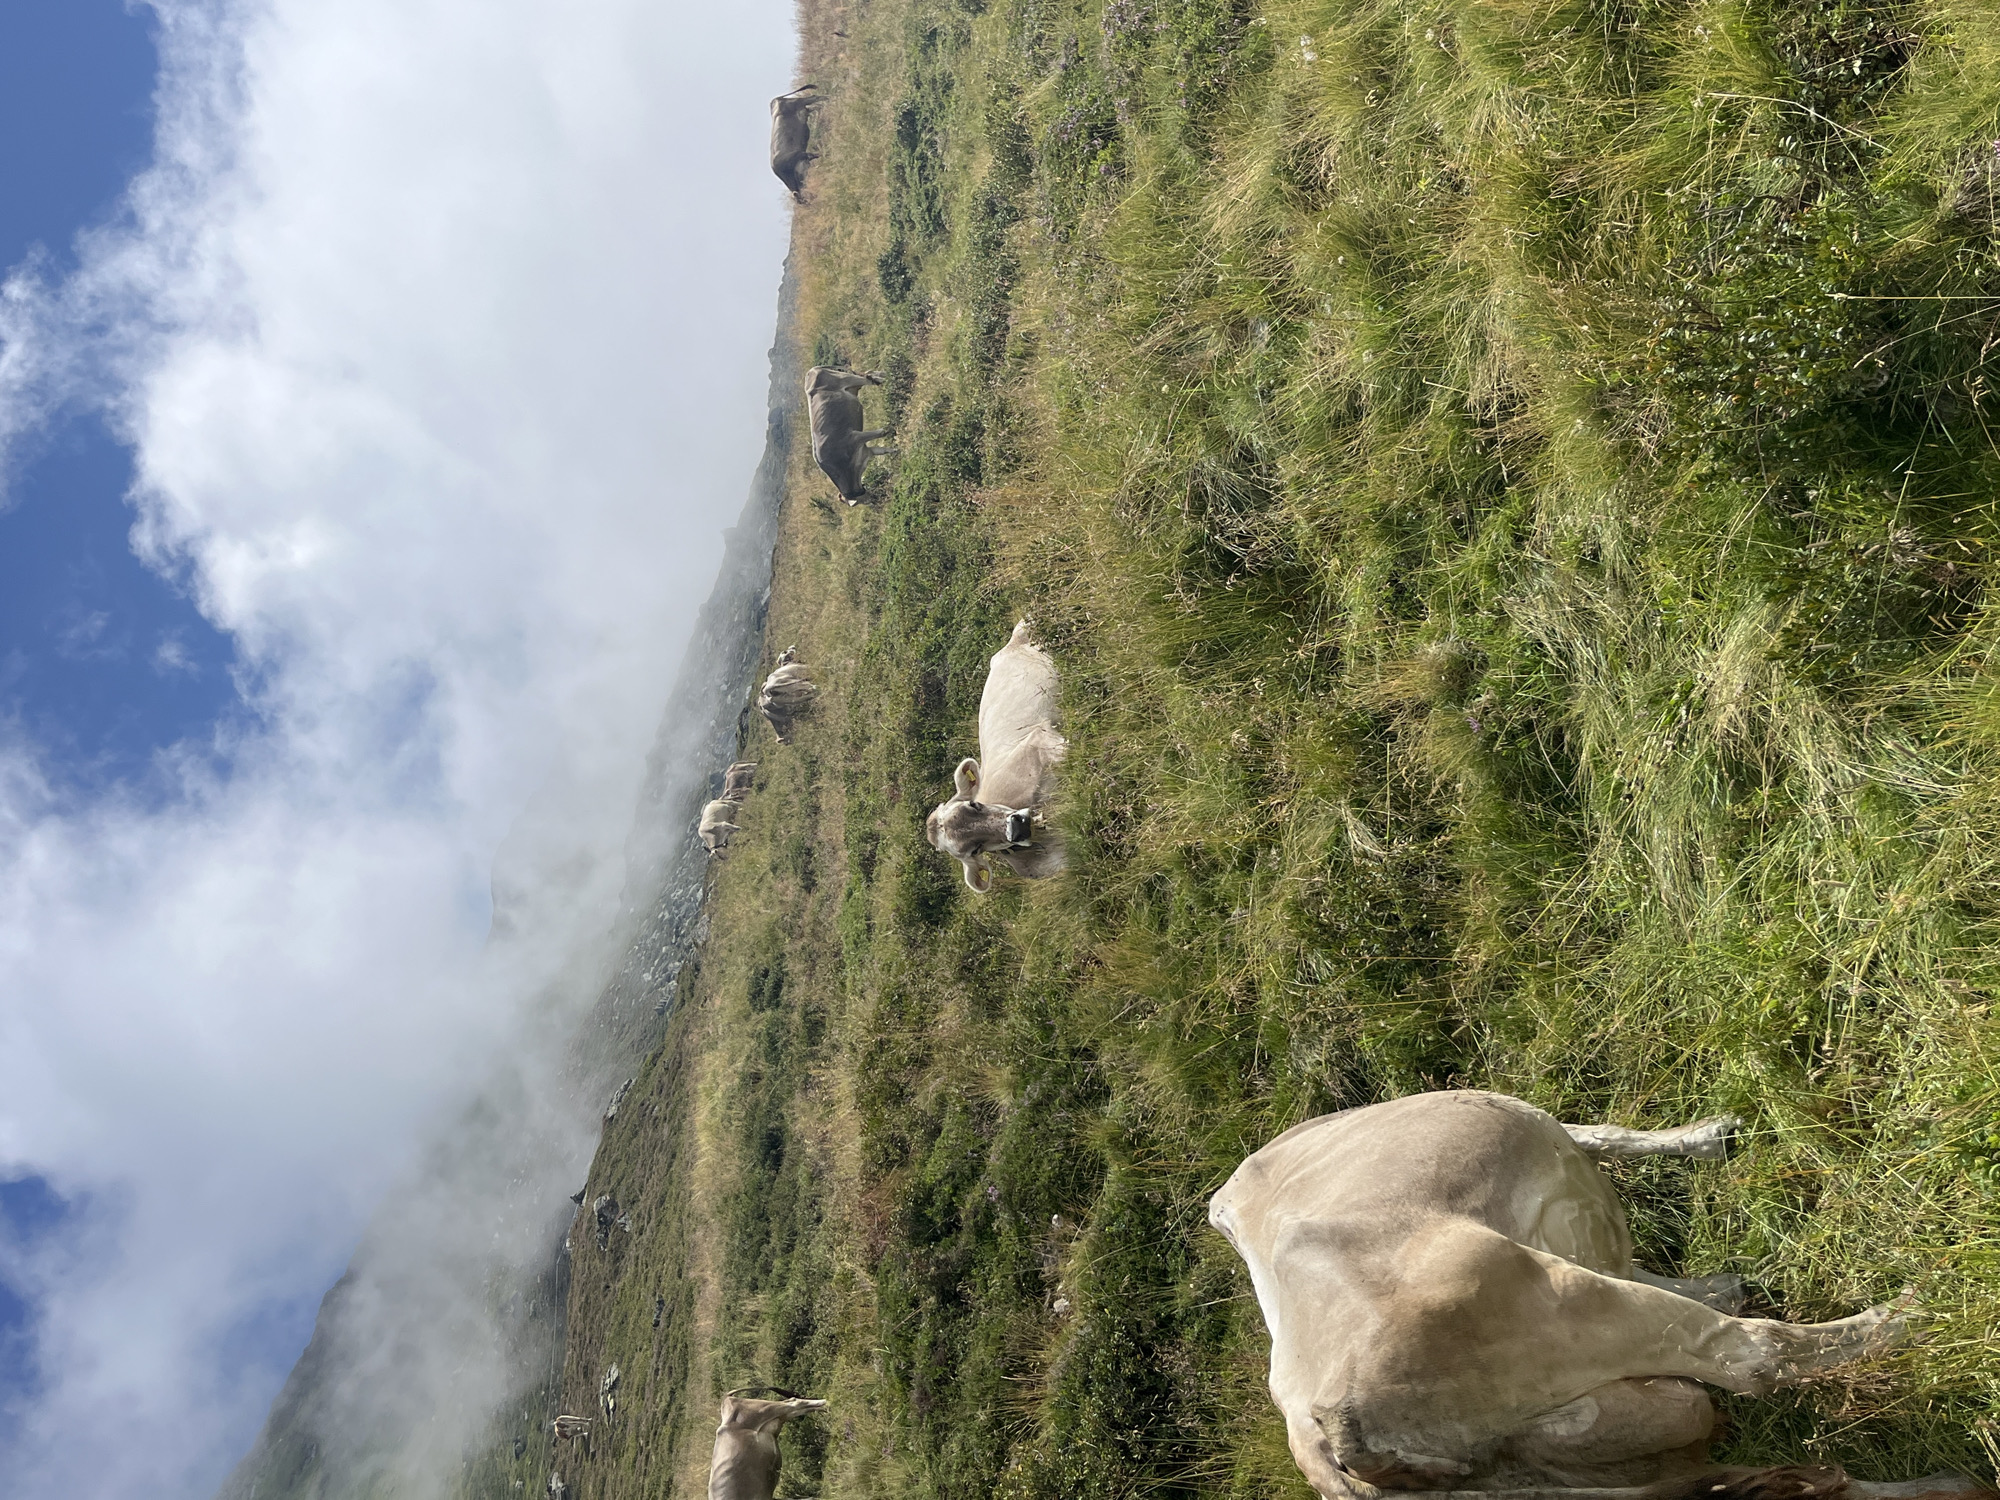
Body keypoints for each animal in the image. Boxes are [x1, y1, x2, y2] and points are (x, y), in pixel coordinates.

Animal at [807, 365, 895, 503]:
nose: (877, 499)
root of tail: (812, 370)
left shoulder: (855, 438)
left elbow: (881, 432)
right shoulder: (867, 451)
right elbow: (883, 450)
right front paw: (896, 451)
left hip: (847, 378)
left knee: (868, 379)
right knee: (869, 374)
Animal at [1209, 1090, 1982, 1500]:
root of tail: (1326, 1443)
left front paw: (1725, 1278)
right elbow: (1604, 1136)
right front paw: (1710, 1138)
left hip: (1612, 1442)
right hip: (1564, 1304)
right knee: (1754, 1356)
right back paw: (1922, 1307)